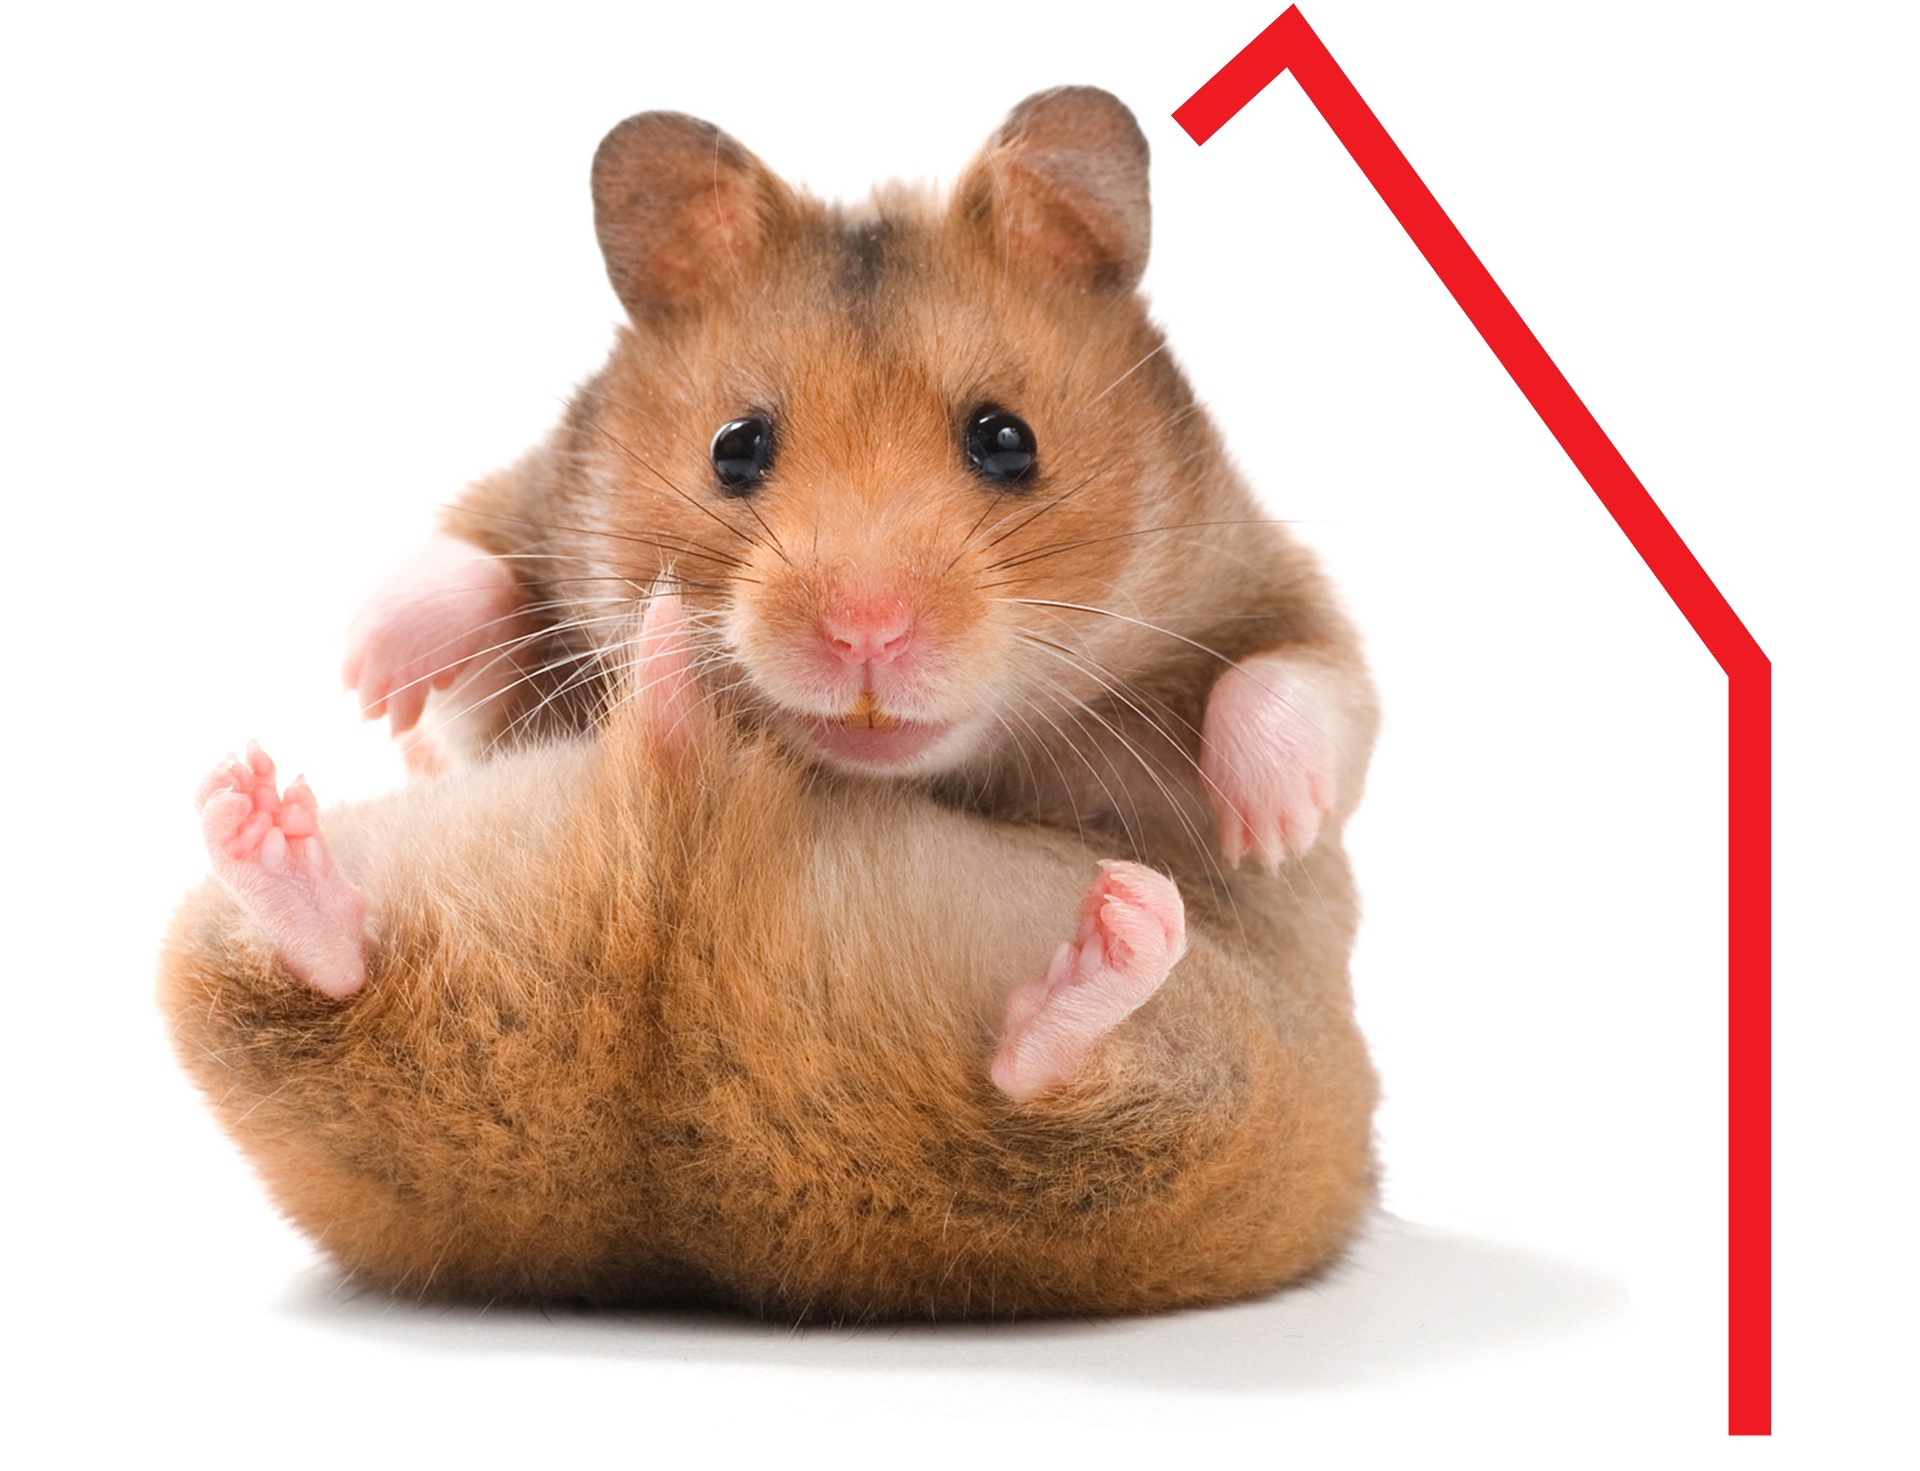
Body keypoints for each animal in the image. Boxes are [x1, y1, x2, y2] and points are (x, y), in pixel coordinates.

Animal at [160, 89, 1382, 1318]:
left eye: (1007, 439)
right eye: (735, 446)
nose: (865, 631)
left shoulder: (1273, 590)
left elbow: (1301, 688)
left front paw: (1264, 823)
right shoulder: (510, 634)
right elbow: (466, 595)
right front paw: (374, 680)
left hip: (1220, 1103)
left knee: (1056, 1087)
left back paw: (1119, 928)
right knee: (324, 974)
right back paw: (264, 812)